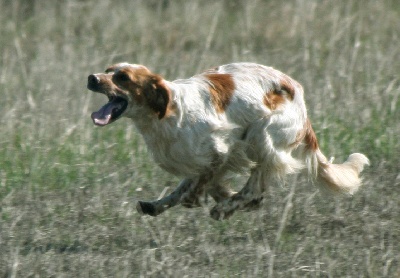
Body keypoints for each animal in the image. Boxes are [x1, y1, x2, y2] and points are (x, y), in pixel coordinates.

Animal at [86, 62, 368, 219]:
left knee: (255, 185)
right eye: (108, 70)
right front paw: (158, 204)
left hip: (263, 134)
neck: (166, 113)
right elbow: (191, 185)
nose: (92, 77)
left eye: (123, 77)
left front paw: (218, 201)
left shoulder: (222, 150)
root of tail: (299, 97)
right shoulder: (196, 159)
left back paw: (225, 208)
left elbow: (202, 182)